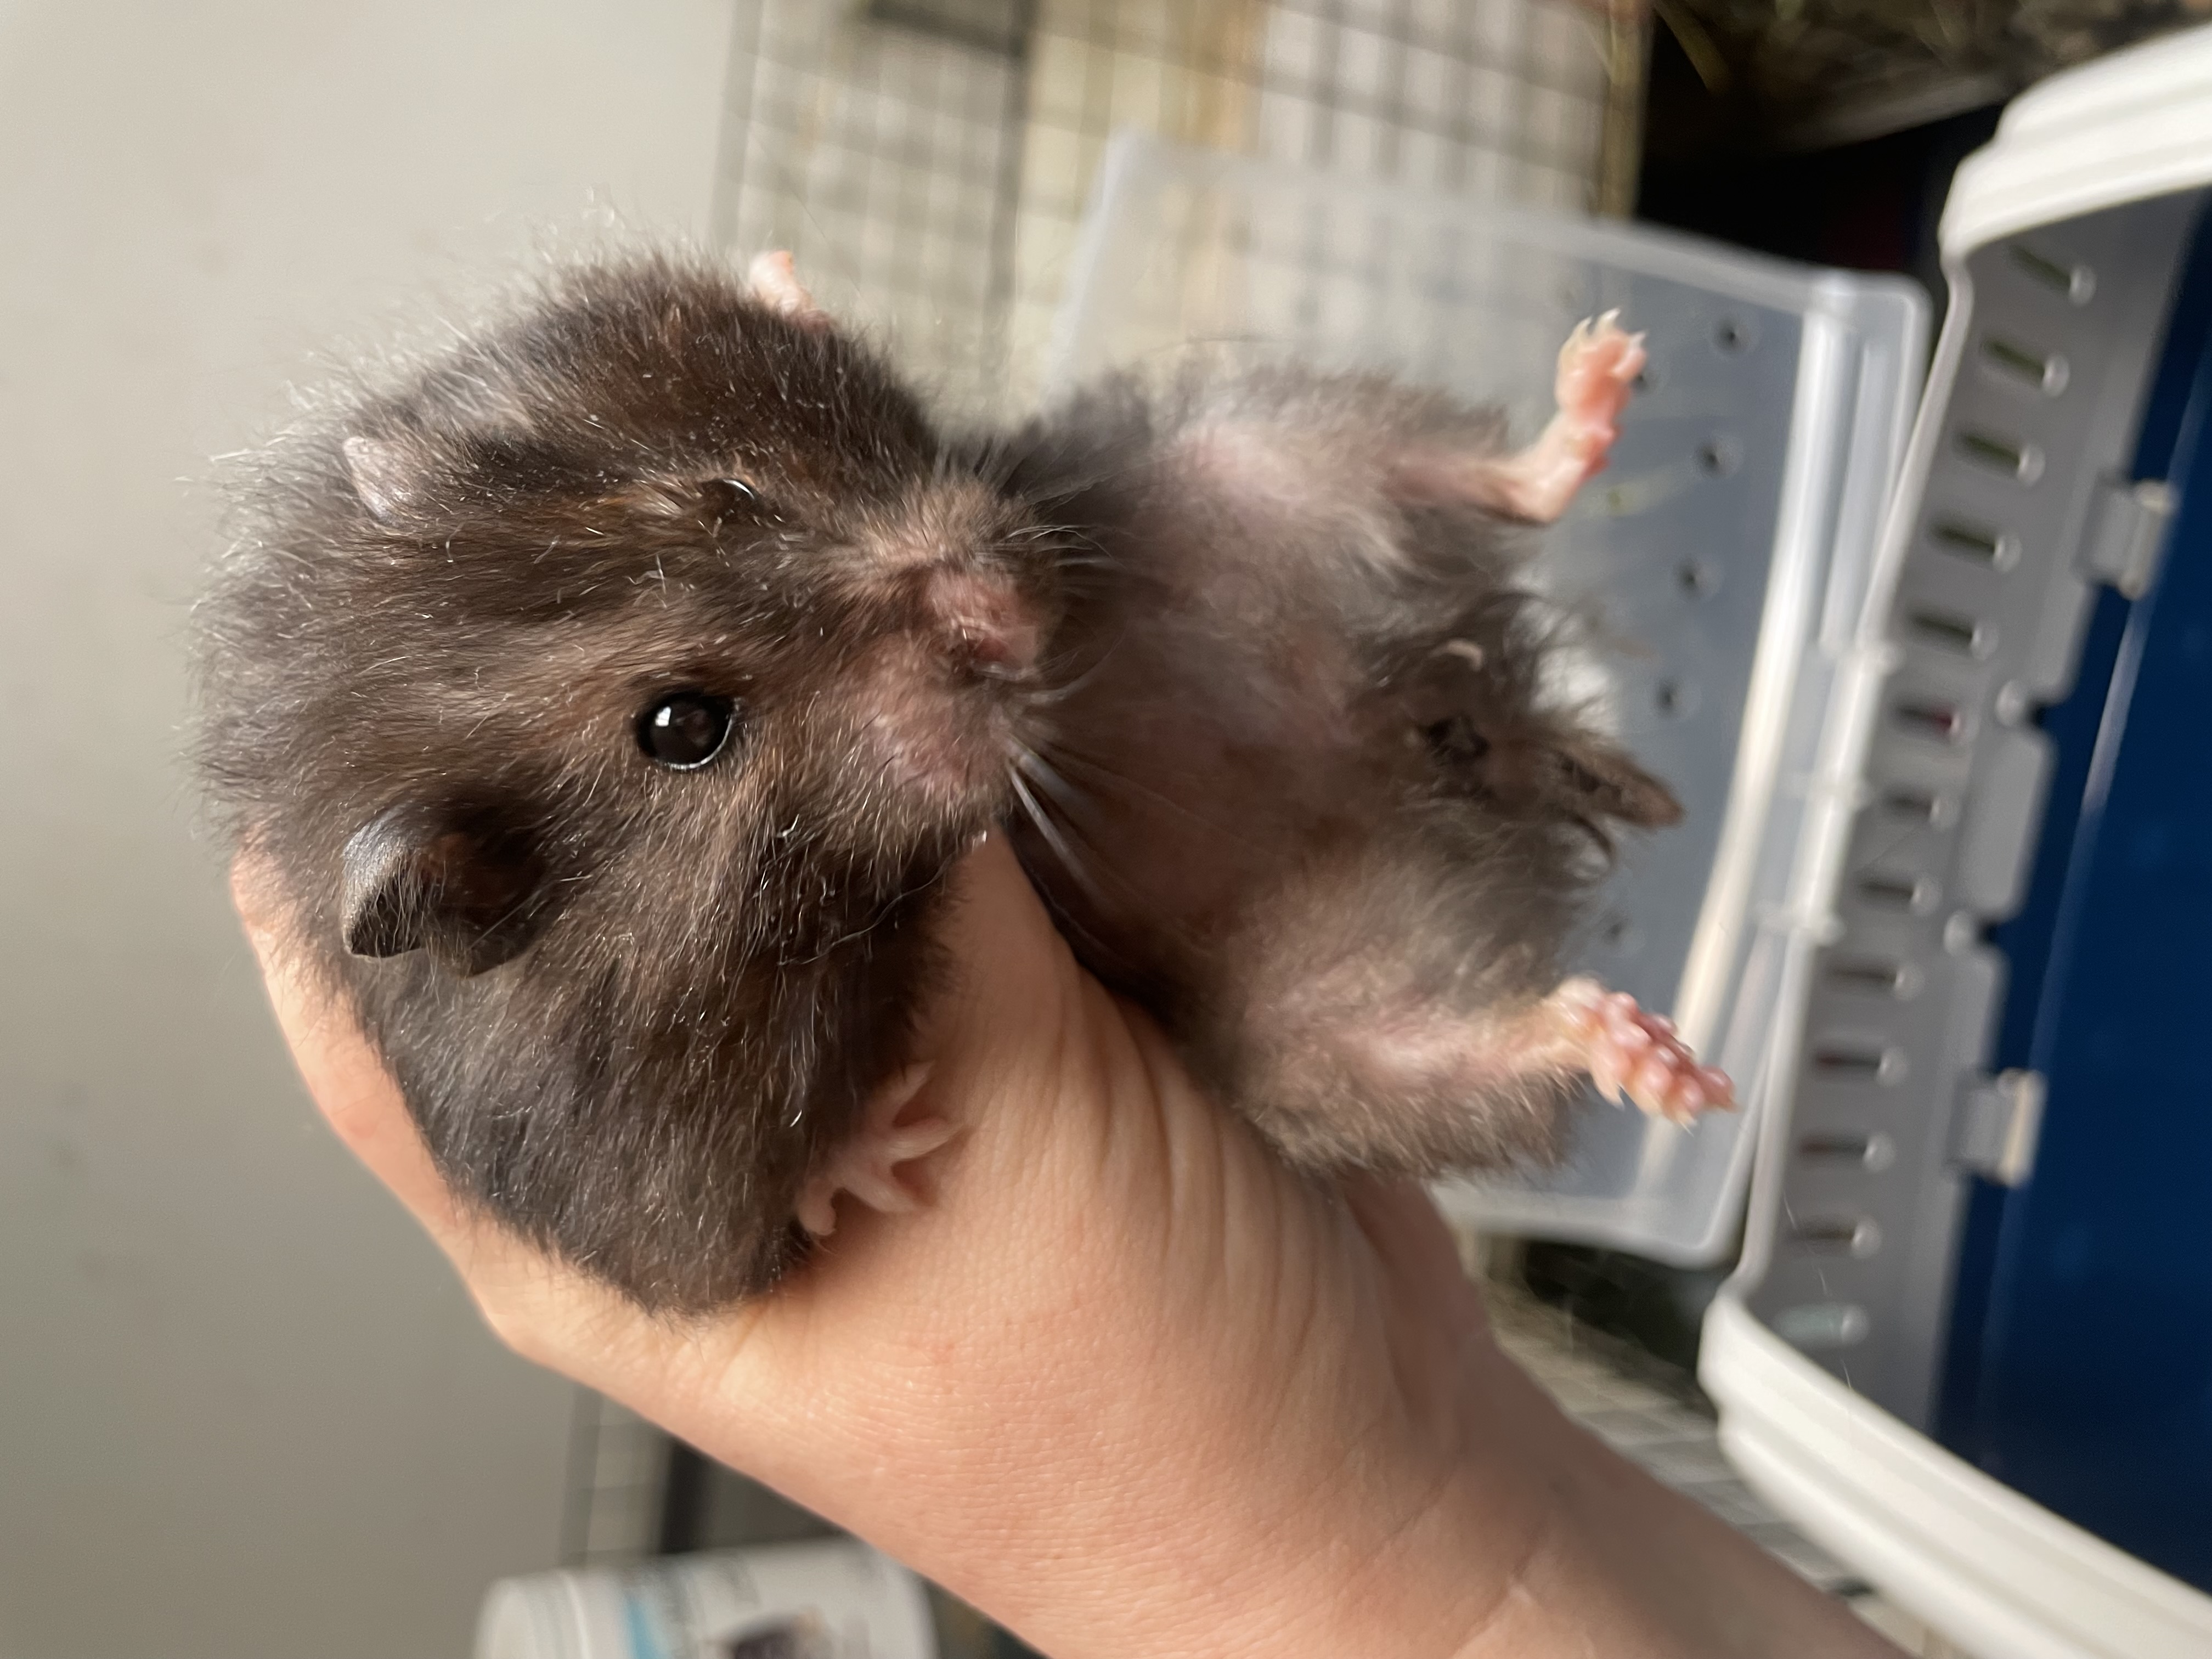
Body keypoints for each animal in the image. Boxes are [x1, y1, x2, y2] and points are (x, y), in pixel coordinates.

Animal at [195, 250, 1730, 1313]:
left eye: (732, 494)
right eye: (685, 726)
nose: (1002, 608)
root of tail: (1451, 727)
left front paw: (782, 273)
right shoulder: (636, 1196)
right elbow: (745, 1225)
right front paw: (887, 1151)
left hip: (1263, 451)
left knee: (1480, 473)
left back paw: (1605, 375)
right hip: (1321, 1038)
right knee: (1467, 1042)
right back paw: (1655, 1060)